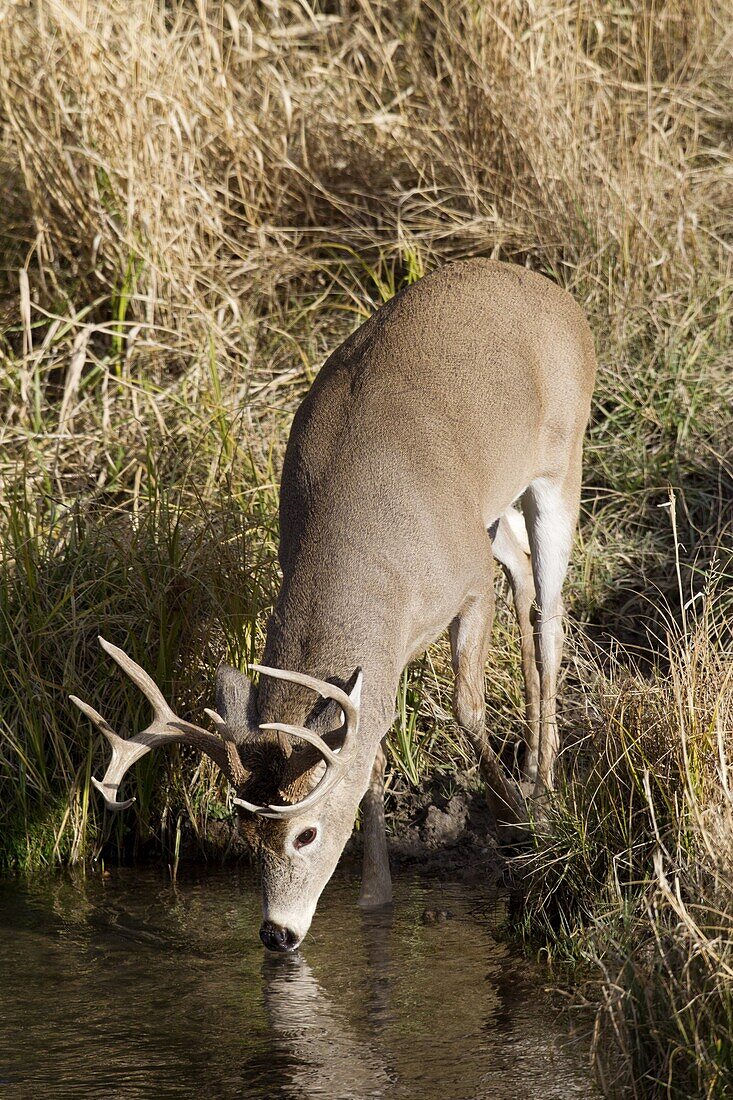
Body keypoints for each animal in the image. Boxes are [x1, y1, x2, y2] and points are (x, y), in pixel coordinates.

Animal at [69, 259, 594, 954]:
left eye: (306, 833)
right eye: (245, 834)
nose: (277, 934)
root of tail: (554, 292)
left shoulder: (468, 582)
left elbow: (466, 707)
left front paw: (515, 816)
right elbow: (368, 751)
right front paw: (376, 896)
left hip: (563, 458)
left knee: (548, 613)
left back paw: (543, 778)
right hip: (501, 504)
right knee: (521, 567)